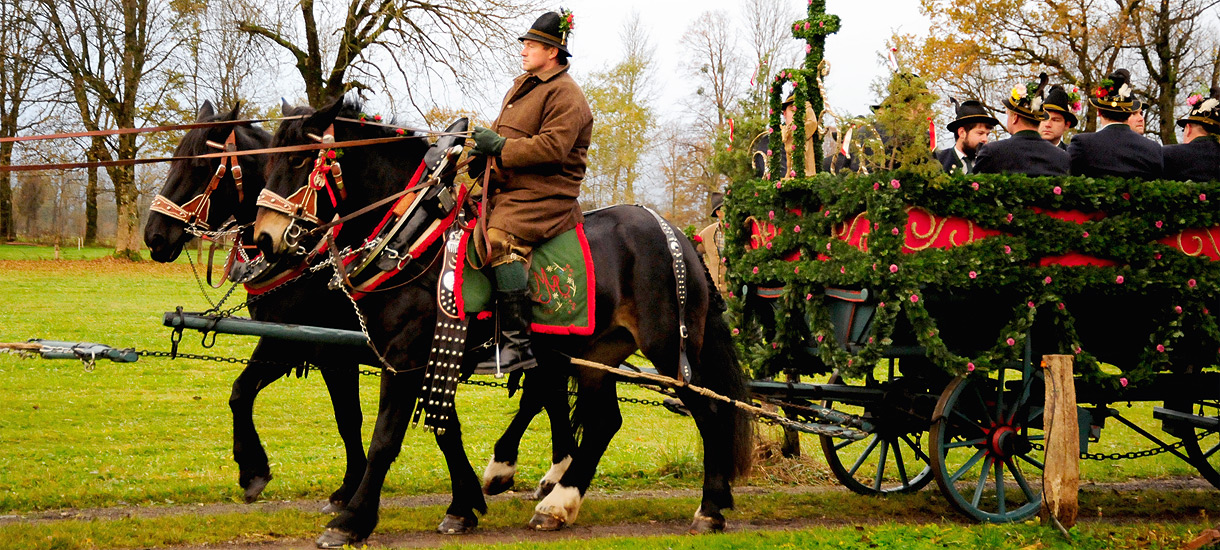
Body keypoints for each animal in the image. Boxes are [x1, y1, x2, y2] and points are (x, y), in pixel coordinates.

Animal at [253, 98, 751, 546]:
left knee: (708, 411)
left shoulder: (408, 360)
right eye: (270, 159)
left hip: (669, 347)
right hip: (597, 354)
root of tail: (678, 238)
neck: (415, 237)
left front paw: (352, 520)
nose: (264, 239)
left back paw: (709, 508)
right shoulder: (430, 362)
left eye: (299, 160)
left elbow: (385, 439)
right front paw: (464, 505)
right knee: (604, 423)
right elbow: (445, 430)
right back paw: (559, 503)